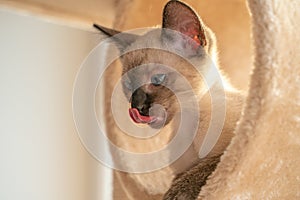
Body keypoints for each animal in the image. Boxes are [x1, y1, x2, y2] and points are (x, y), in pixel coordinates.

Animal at [95, 0, 245, 199]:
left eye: (157, 79)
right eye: (128, 85)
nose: (137, 106)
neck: (187, 122)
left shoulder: (229, 155)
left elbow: (194, 175)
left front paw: (175, 192)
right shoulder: (180, 170)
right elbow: (180, 177)